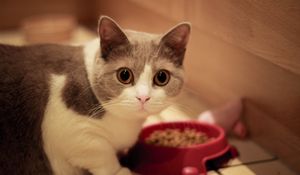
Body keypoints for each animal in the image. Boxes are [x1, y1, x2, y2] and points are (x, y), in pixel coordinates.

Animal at [0, 15, 191, 174]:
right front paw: (123, 171)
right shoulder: (70, 132)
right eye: (124, 75)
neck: (125, 123)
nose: (143, 97)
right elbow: (101, 153)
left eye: (162, 77)